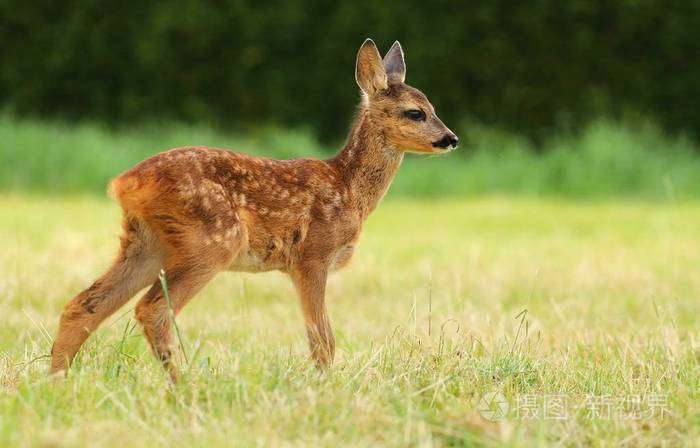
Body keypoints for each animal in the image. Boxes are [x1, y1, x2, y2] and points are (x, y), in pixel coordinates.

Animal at [49, 39, 458, 381]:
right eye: (415, 113)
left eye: (433, 108)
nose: (450, 139)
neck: (347, 188)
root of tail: (125, 182)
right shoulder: (312, 255)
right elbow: (323, 339)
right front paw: (327, 387)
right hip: (212, 238)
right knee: (152, 311)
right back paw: (183, 387)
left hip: (147, 244)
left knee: (83, 305)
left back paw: (56, 382)